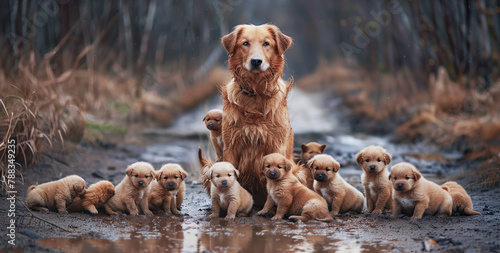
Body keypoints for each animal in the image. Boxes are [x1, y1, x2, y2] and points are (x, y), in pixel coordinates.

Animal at [221, 23, 294, 206]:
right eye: (245, 43)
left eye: (266, 43)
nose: (256, 61)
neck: (256, 93)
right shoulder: (231, 146)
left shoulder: (276, 146)